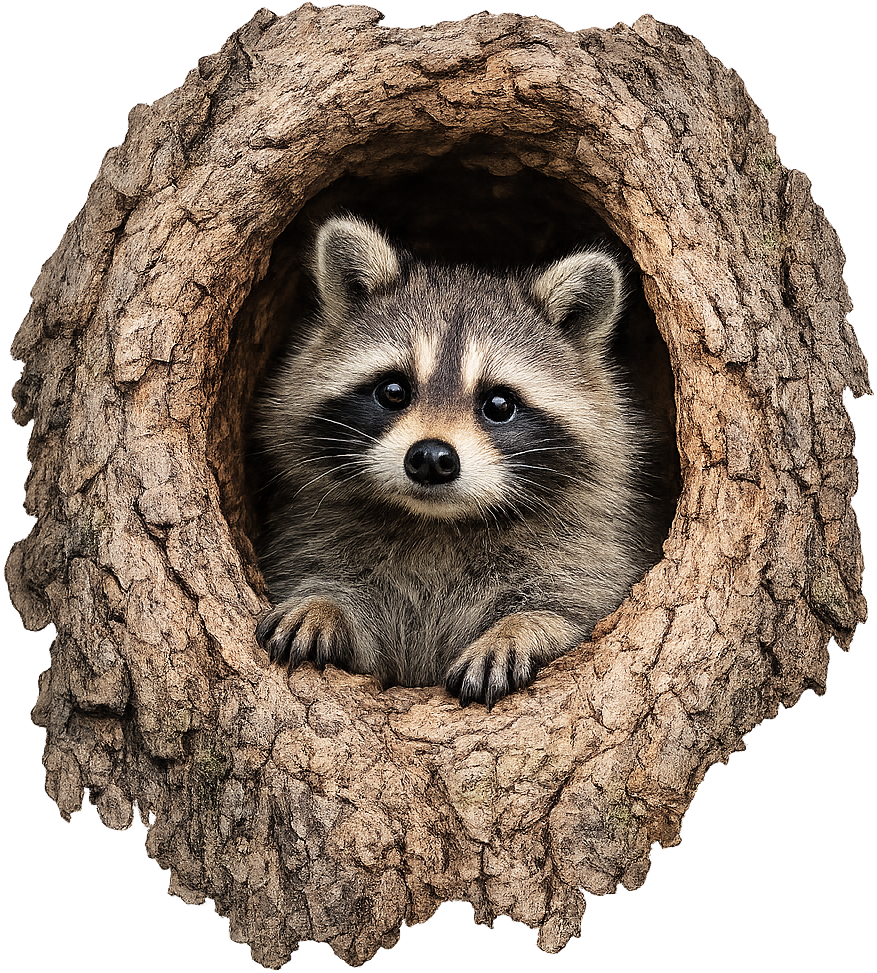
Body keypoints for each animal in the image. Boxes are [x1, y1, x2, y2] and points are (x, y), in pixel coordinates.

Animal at [252, 215, 661, 708]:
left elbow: (581, 615)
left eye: (499, 404)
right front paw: (323, 603)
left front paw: (522, 627)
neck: (438, 522)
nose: (431, 458)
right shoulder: (309, 534)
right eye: (394, 390)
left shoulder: (593, 550)